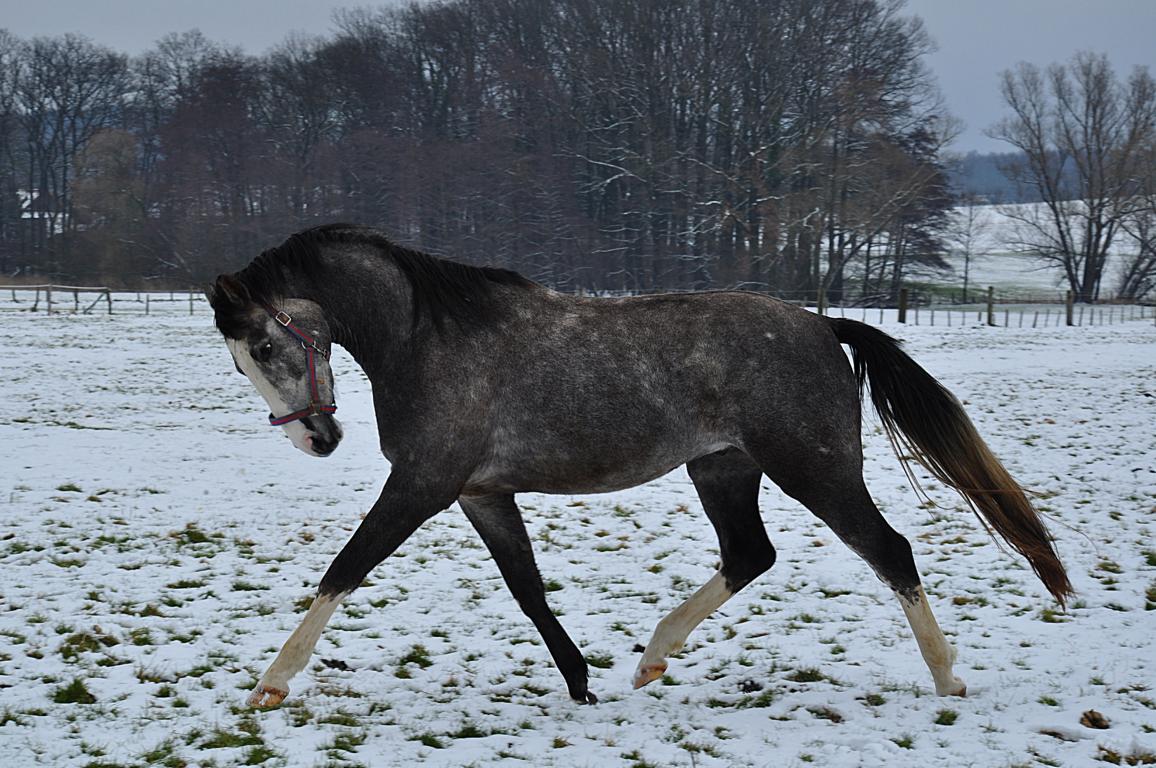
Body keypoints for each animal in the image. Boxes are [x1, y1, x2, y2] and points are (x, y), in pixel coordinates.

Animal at [210, 222, 1072, 707]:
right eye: (243, 359)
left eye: (264, 346)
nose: (316, 440)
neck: (426, 338)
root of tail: (822, 325)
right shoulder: (480, 493)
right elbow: (527, 590)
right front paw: (580, 682)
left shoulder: (421, 486)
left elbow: (343, 571)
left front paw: (271, 684)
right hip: (723, 470)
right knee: (749, 555)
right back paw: (652, 660)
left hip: (816, 470)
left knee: (889, 551)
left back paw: (947, 680)